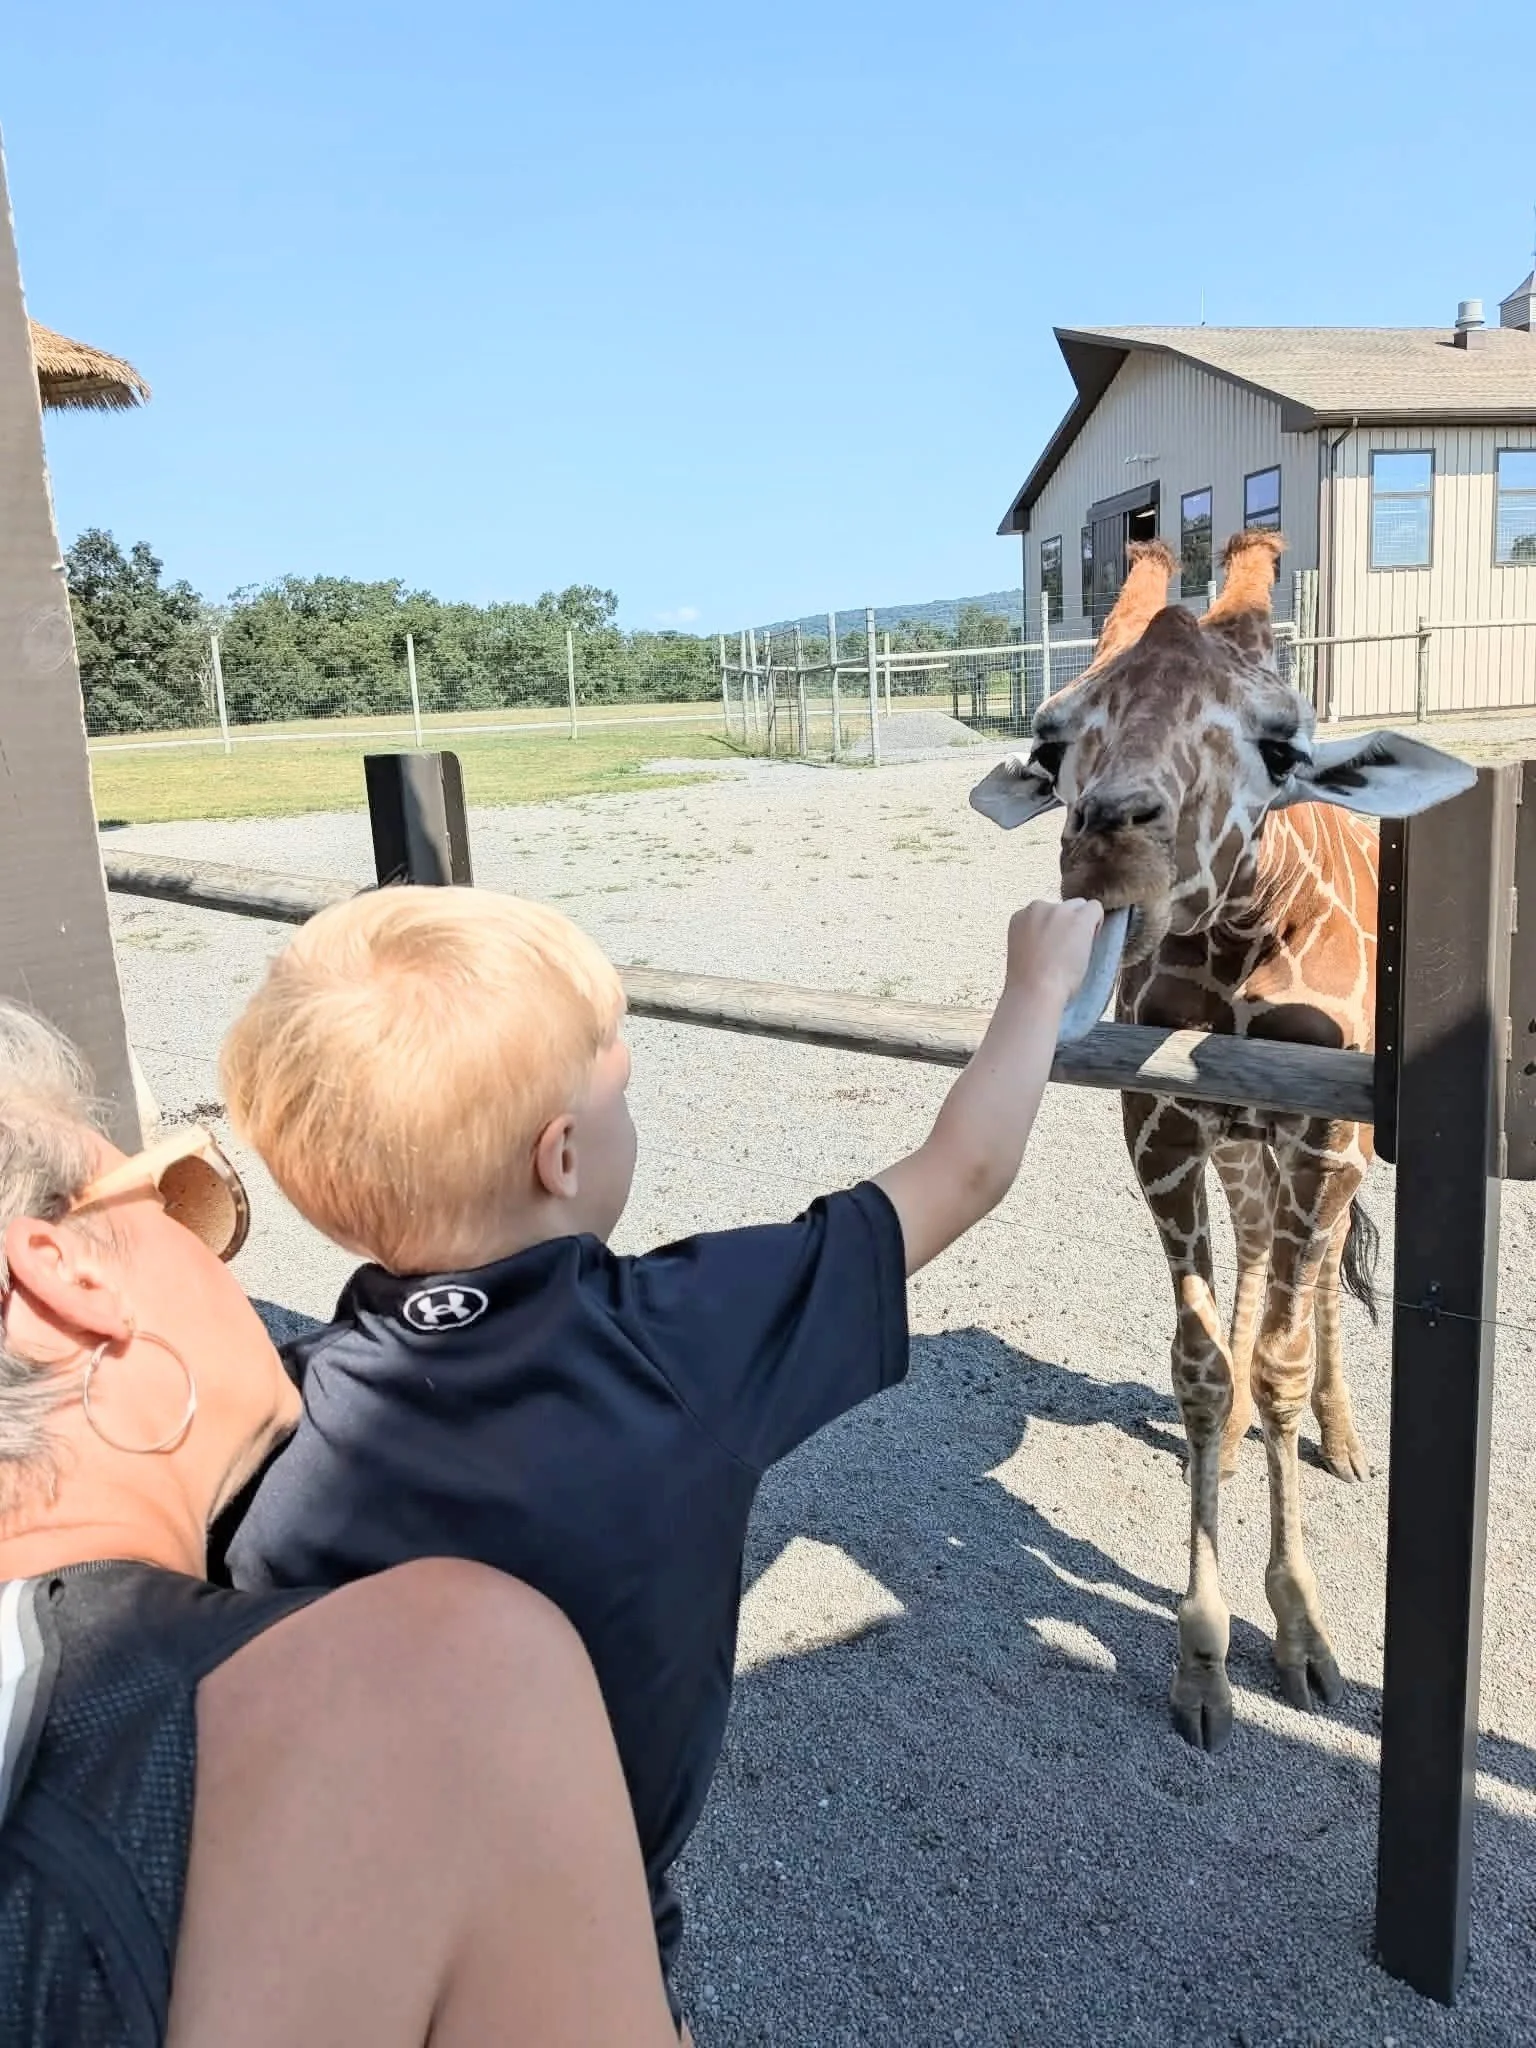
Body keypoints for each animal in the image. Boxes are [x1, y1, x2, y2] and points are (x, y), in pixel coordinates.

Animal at [970, 532, 1475, 1751]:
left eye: (1280, 745)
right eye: (1054, 741)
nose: (1107, 846)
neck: (1247, 931)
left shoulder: (1326, 1127)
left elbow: (1286, 1354)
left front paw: (1302, 1637)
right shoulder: (1156, 1120)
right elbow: (1200, 1363)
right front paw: (1202, 1656)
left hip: (1331, 1145)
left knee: (1318, 1287)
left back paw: (1344, 1439)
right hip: (1240, 1144)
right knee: (1253, 1259)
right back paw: (1251, 1431)